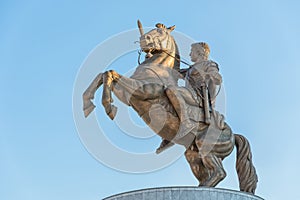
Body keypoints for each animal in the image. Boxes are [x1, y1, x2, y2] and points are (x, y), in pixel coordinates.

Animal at [82, 20, 258, 194]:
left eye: (161, 32)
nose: (144, 39)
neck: (157, 69)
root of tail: (233, 134)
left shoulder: (140, 91)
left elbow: (110, 74)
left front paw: (109, 107)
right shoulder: (126, 95)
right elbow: (103, 74)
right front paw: (87, 103)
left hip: (206, 149)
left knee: (219, 172)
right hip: (193, 155)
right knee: (207, 174)